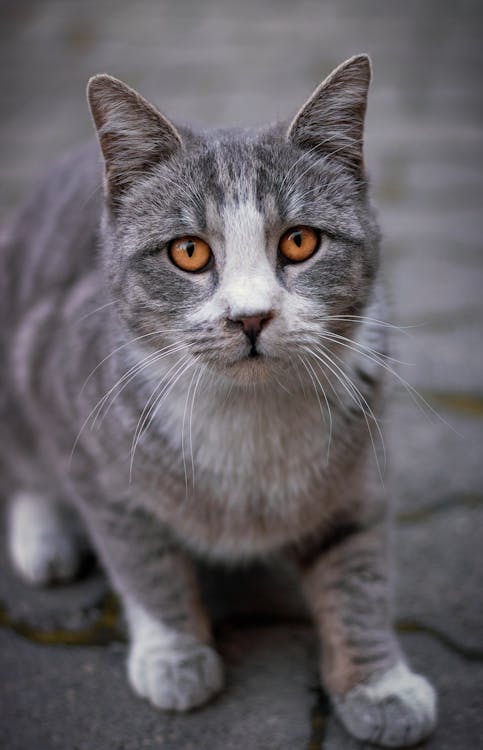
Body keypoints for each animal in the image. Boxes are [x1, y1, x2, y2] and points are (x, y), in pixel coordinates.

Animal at [0, 55, 438, 748]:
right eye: (188, 251)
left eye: (300, 242)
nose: (250, 316)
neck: (249, 419)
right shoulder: (95, 456)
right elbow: (142, 559)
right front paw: (174, 653)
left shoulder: (358, 476)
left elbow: (358, 574)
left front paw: (379, 684)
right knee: (24, 466)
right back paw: (43, 537)